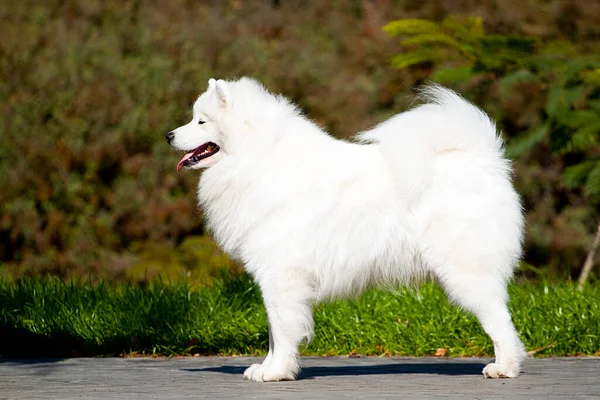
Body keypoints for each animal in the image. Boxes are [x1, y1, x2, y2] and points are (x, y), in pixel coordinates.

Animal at [165, 77, 524, 382]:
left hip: (464, 270)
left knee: (500, 319)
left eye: (201, 121)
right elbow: (272, 331)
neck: (257, 161)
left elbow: (281, 329)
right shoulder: (274, 278)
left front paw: (278, 371)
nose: (168, 135)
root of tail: (485, 161)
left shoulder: (281, 276)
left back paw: (504, 368)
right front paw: (266, 368)